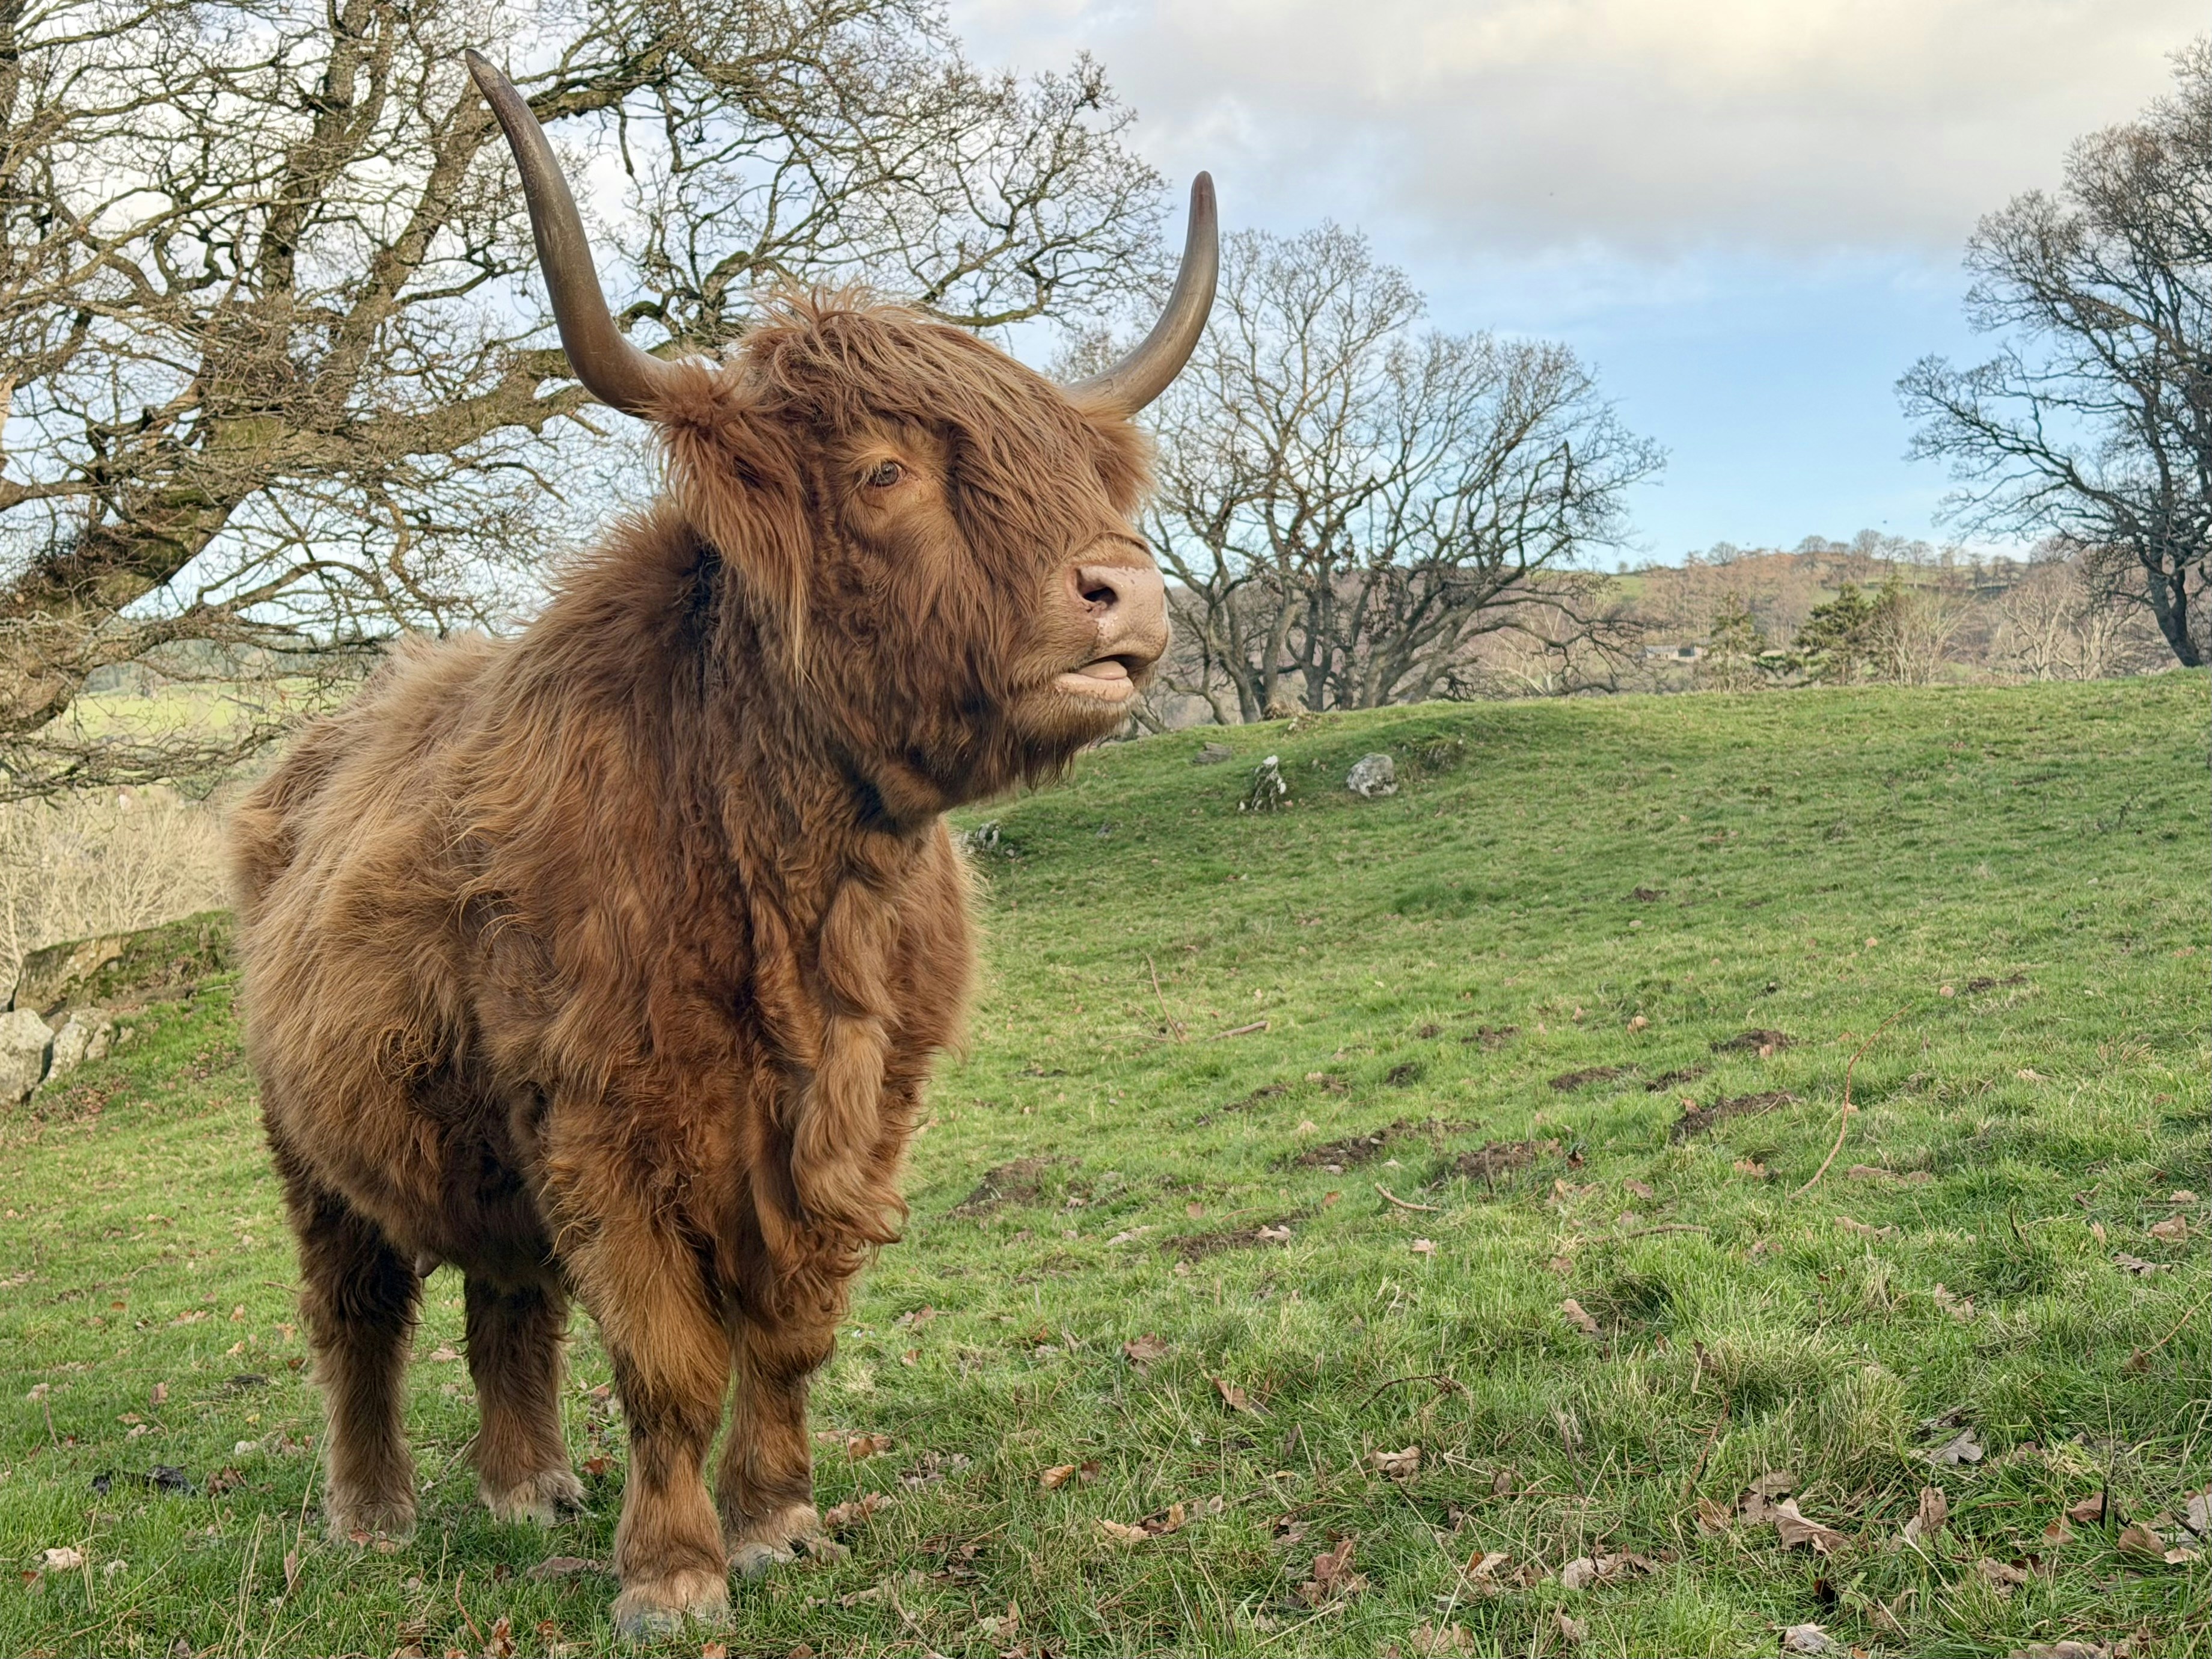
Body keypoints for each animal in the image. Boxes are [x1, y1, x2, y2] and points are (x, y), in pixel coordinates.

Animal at [225, 50, 1213, 1636]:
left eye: (1084, 475)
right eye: (882, 473)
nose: (1125, 591)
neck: (809, 876)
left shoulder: (863, 1113)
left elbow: (792, 1332)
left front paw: (779, 1522)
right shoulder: (602, 1116)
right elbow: (670, 1358)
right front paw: (674, 1574)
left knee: (507, 1301)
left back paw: (527, 1486)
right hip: (314, 1147)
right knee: (357, 1314)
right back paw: (372, 1514)